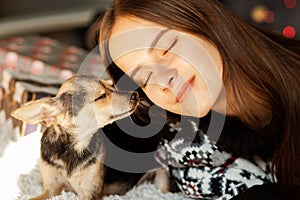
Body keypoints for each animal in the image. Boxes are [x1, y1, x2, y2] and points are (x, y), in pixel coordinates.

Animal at [10, 74, 139, 200]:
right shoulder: (50, 189)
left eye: (112, 85)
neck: (73, 148)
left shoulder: (90, 193)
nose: (136, 94)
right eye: (101, 96)